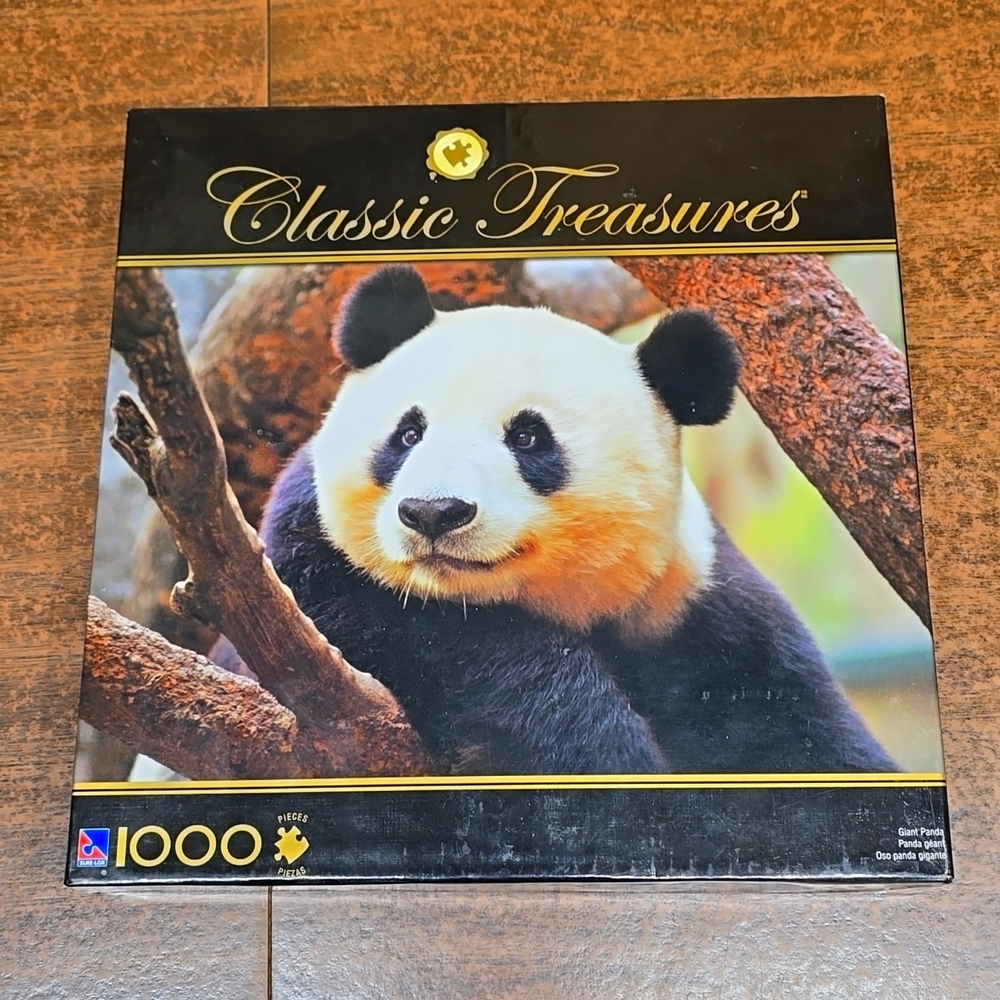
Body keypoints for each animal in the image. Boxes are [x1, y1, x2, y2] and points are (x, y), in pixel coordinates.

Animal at [259, 264, 897, 776]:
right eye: (409, 433)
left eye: (528, 437)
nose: (435, 512)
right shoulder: (314, 557)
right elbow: (425, 634)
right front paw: (593, 749)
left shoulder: (708, 617)